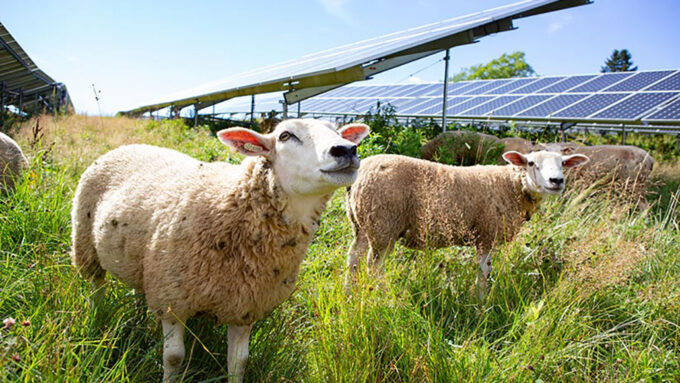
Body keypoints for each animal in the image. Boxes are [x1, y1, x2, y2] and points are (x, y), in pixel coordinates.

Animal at [71, 118, 370, 382]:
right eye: (286, 135)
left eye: (337, 131)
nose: (346, 149)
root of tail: (129, 145)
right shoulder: (172, 298)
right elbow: (174, 358)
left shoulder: (246, 304)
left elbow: (239, 362)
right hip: (85, 244)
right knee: (96, 287)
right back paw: (96, 320)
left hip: (142, 262)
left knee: (138, 288)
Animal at [348, 150, 588, 296]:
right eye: (531, 163)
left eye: (563, 163)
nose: (557, 181)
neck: (511, 185)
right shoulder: (487, 232)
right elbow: (484, 270)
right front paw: (481, 300)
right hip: (384, 224)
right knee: (374, 266)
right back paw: (384, 297)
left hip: (362, 224)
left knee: (353, 258)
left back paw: (348, 292)